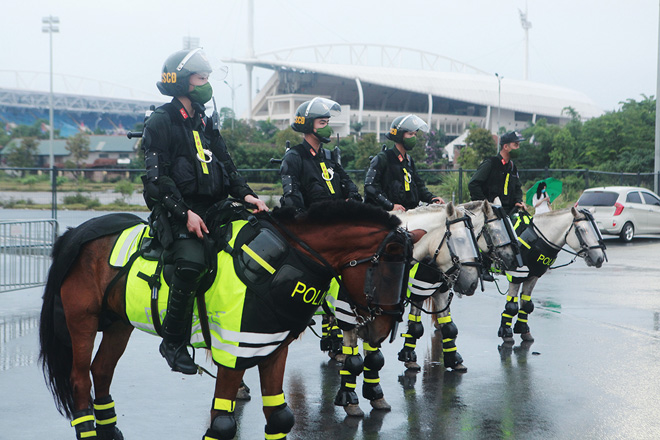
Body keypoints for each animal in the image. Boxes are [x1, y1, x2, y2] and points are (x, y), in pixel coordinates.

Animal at [41, 202, 420, 440]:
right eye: (384, 269)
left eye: (408, 270)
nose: (382, 330)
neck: (281, 261)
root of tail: (76, 231)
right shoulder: (233, 352)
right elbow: (222, 424)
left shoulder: (272, 349)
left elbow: (280, 416)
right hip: (82, 322)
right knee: (80, 381)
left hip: (119, 324)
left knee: (102, 371)